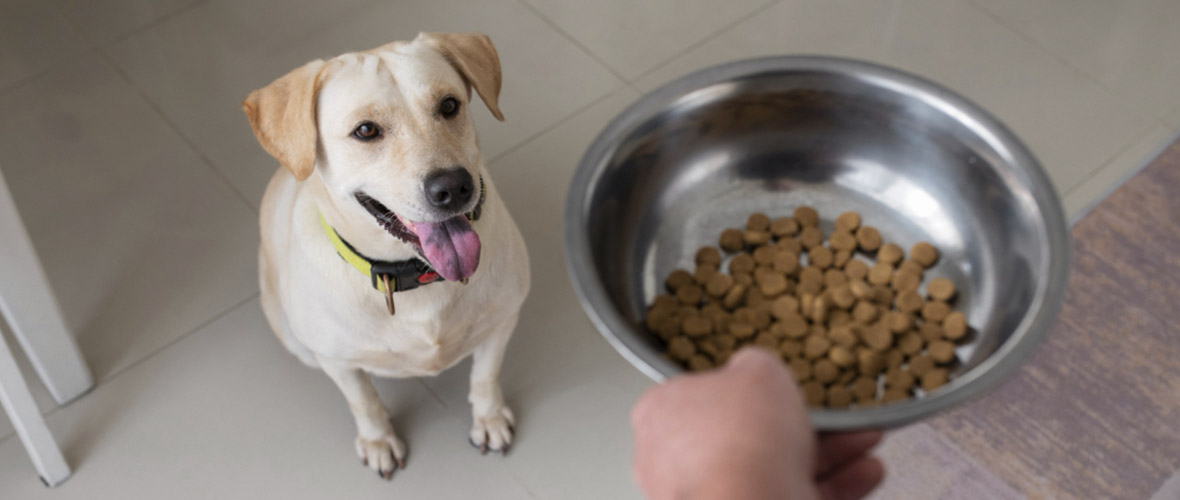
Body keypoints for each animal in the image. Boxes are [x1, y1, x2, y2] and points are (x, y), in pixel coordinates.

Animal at [241, 33, 528, 478]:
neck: (416, 276)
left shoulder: (502, 320)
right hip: (294, 338)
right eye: (366, 130)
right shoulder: (338, 361)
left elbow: (485, 375)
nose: (454, 187)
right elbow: (365, 402)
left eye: (449, 105)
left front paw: (489, 418)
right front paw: (378, 442)